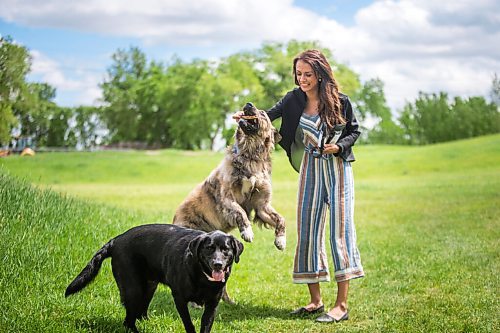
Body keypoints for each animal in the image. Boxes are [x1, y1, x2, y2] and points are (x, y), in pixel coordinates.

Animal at [64, 223, 244, 332]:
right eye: (209, 248)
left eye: (226, 249)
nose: (218, 264)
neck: (202, 276)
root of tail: (116, 240)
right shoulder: (179, 299)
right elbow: (189, 324)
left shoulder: (212, 305)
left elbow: (205, 326)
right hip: (133, 289)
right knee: (128, 321)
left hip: (149, 286)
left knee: (140, 312)